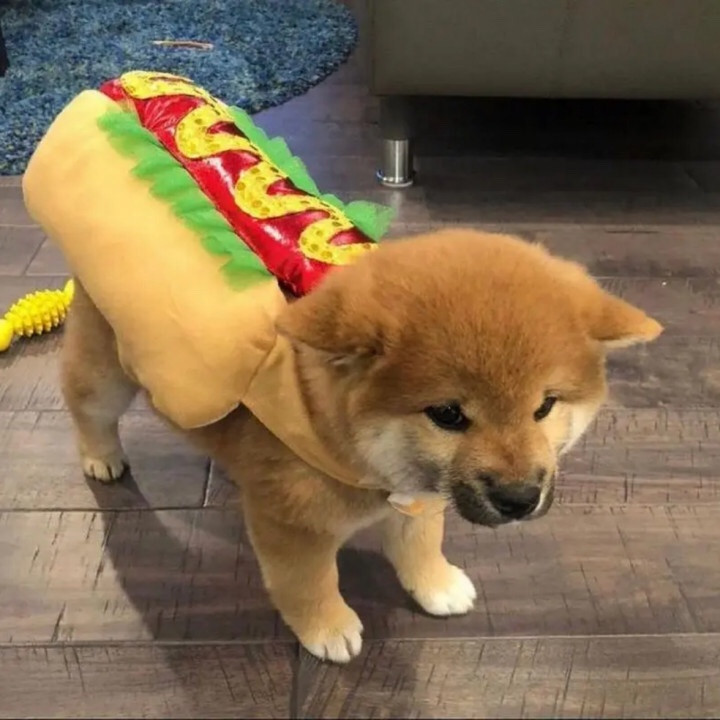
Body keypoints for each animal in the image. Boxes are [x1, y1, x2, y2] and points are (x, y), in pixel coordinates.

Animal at [59, 228, 662, 663]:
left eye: (545, 407)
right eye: (448, 414)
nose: (519, 500)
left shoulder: (422, 496)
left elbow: (421, 546)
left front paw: (435, 585)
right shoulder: (293, 528)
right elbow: (309, 583)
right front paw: (327, 628)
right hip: (108, 372)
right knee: (85, 407)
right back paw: (101, 457)